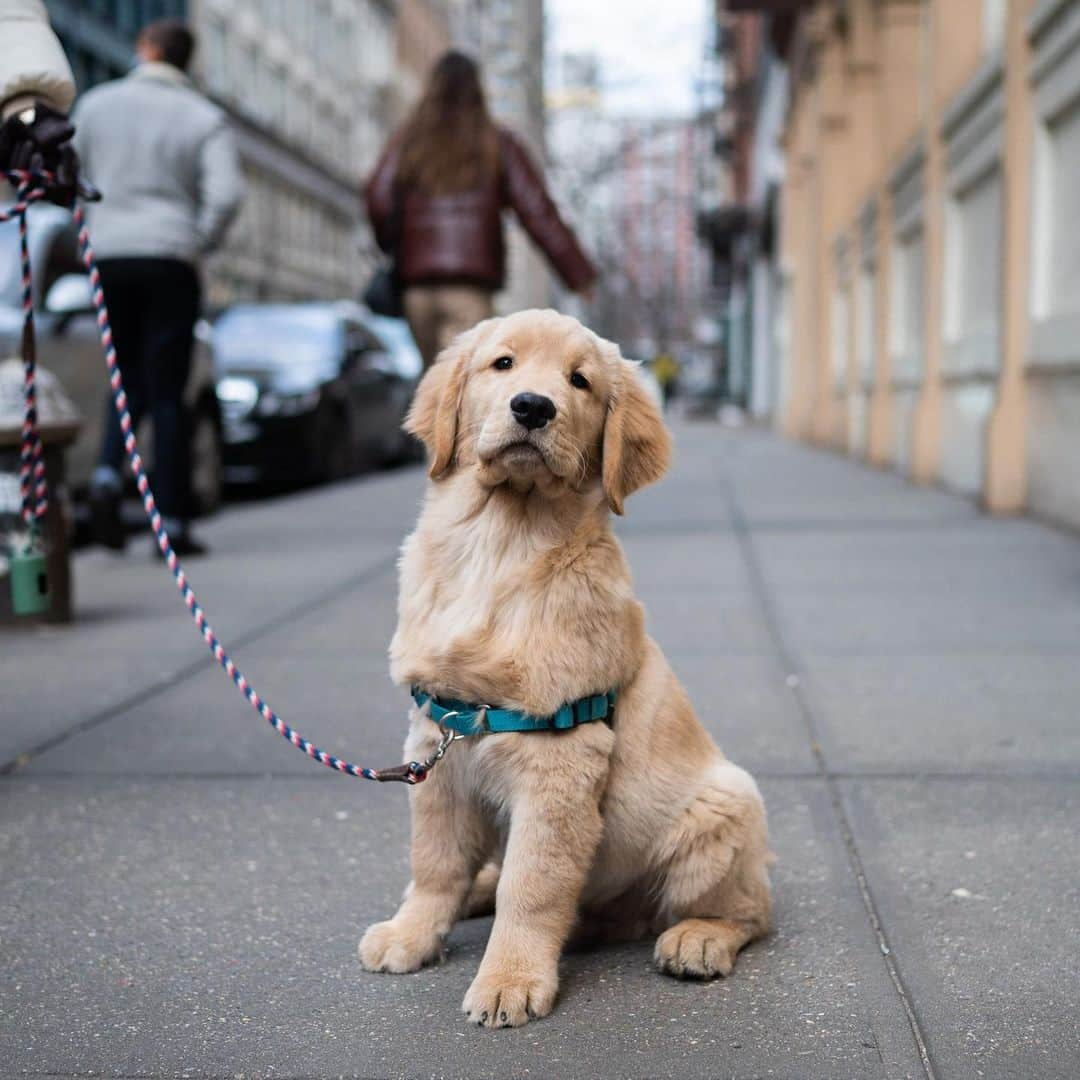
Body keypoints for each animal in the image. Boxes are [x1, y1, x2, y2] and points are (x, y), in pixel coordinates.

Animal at [358, 308, 773, 1023]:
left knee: (751, 912)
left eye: (579, 381)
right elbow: (434, 863)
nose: (532, 406)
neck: (500, 542)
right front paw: (412, 934)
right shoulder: (436, 745)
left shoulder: (559, 762)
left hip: (724, 806)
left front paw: (510, 980)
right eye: (503, 364)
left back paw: (696, 939)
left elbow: (532, 887)